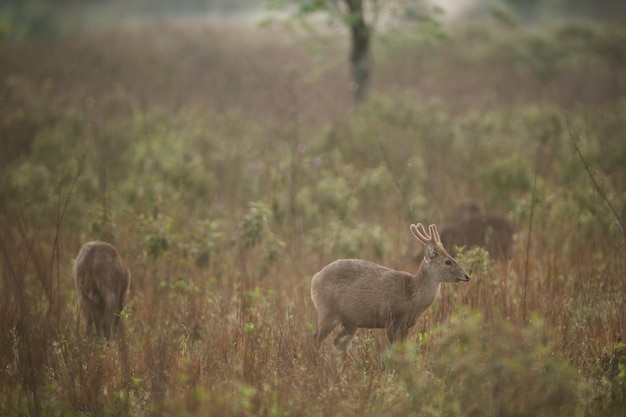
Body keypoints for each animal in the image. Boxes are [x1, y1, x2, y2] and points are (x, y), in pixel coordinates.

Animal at [310, 223, 468, 350]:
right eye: (448, 261)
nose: (467, 276)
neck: (411, 296)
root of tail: (314, 278)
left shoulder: (406, 326)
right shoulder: (390, 317)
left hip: (350, 321)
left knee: (338, 343)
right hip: (327, 311)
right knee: (316, 339)